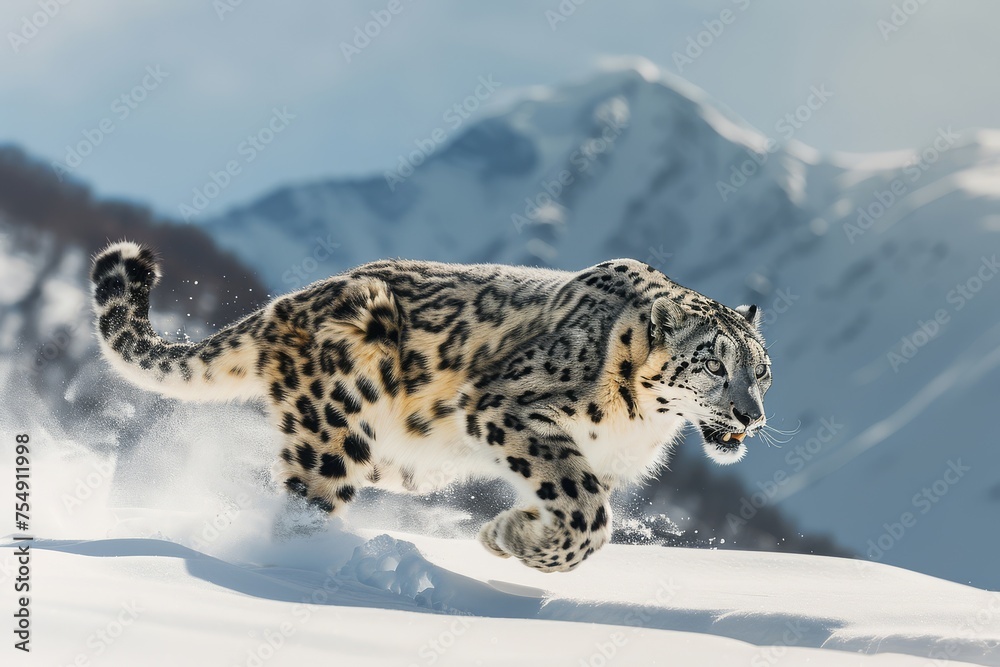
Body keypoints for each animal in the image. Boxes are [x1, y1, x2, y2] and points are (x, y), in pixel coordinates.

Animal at [90, 240, 771, 572]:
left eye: (761, 372)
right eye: (714, 364)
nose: (751, 416)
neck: (640, 427)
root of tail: (285, 304)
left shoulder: (594, 463)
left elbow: (572, 501)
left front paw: (508, 534)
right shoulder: (511, 410)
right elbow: (586, 516)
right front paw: (515, 538)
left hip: (401, 460)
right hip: (336, 432)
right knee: (303, 503)